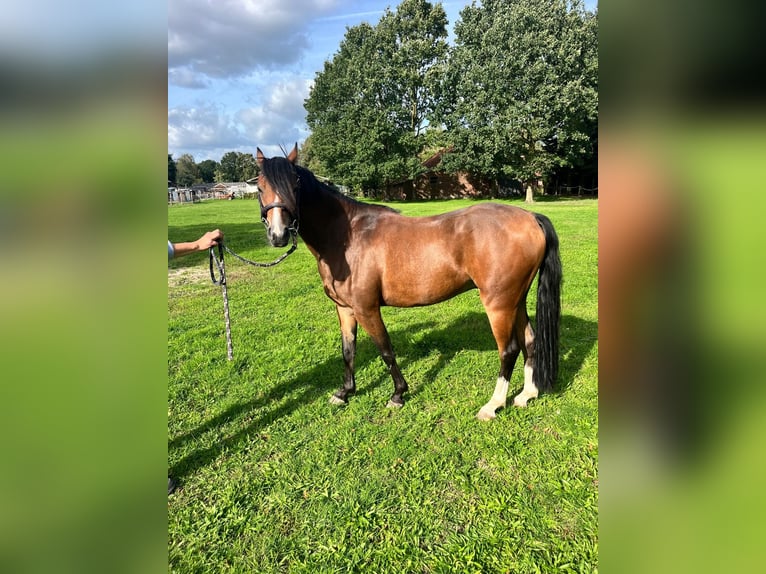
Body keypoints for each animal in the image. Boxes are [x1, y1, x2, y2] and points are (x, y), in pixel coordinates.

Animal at [255, 144, 562, 420]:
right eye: (259, 187)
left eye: (295, 186)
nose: (279, 235)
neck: (347, 237)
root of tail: (529, 217)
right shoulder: (344, 309)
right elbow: (348, 351)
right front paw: (344, 392)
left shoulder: (367, 309)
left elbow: (386, 351)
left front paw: (398, 394)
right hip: (516, 300)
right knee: (530, 341)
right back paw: (526, 395)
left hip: (499, 304)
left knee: (508, 350)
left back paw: (492, 406)